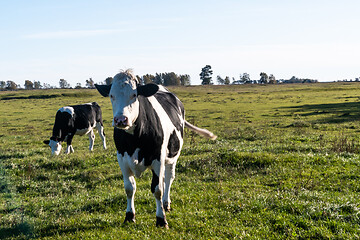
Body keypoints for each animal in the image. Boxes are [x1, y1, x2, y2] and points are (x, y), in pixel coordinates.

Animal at [94, 69, 217, 227]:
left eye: (134, 95)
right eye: (111, 95)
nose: (121, 120)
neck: (135, 139)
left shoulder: (158, 158)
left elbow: (157, 189)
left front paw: (161, 219)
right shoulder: (121, 158)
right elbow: (129, 188)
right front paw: (129, 216)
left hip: (172, 156)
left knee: (168, 178)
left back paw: (166, 203)